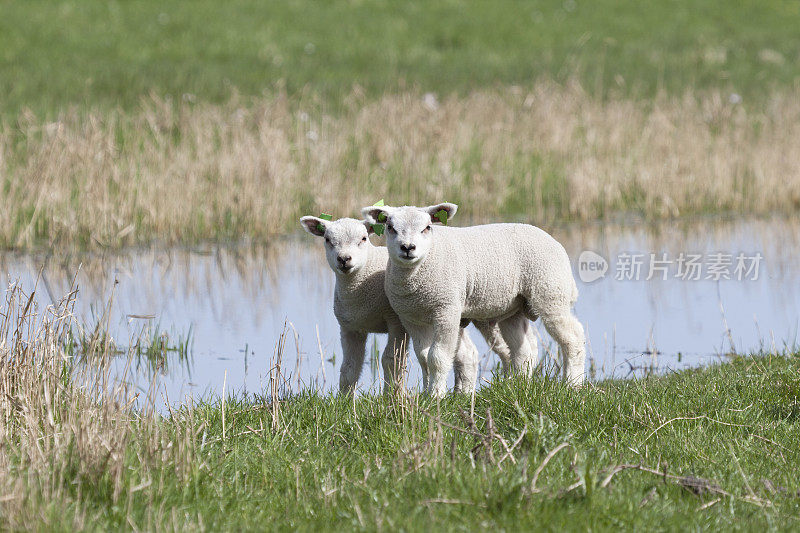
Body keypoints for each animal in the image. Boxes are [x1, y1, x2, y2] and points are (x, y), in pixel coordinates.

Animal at [298, 214, 512, 392]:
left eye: (363, 239)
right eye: (327, 240)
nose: (344, 259)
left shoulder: (396, 321)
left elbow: (390, 360)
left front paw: (391, 398)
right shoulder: (350, 328)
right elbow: (349, 369)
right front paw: (345, 402)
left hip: (484, 313)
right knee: (467, 354)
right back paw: (462, 393)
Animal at [360, 202, 584, 396]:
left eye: (427, 227)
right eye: (390, 227)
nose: (408, 248)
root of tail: (554, 241)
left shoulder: (447, 310)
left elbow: (437, 357)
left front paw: (436, 396)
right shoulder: (411, 318)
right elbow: (423, 357)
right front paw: (427, 393)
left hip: (550, 292)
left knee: (573, 337)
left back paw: (572, 385)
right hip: (513, 309)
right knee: (522, 350)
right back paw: (520, 387)